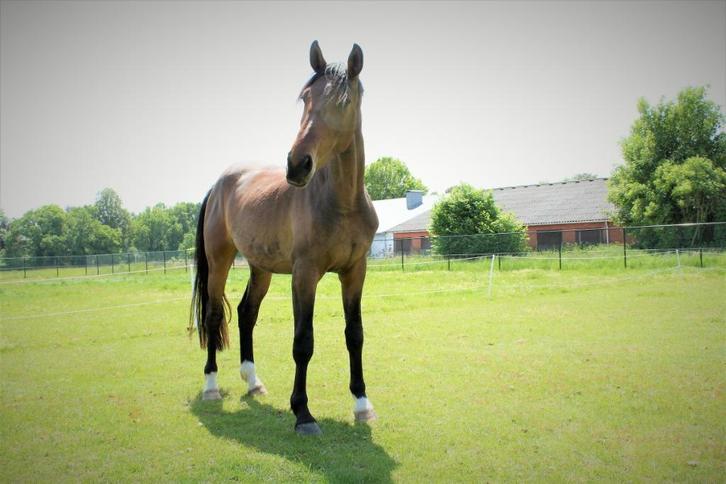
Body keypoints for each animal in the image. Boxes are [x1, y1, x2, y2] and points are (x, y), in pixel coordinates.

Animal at [190, 41, 378, 435]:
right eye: (305, 98)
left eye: (343, 102)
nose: (297, 165)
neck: (341, 203)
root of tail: (220, 183)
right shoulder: (304, 275)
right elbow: (303, 341)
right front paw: (303, 413)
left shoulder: (356, 271)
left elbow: (355, 334)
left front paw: (362, 405)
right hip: (219, 261)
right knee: (213, 317)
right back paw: (211, 386)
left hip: (260, 268)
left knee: (246, 313)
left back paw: (253, 381)